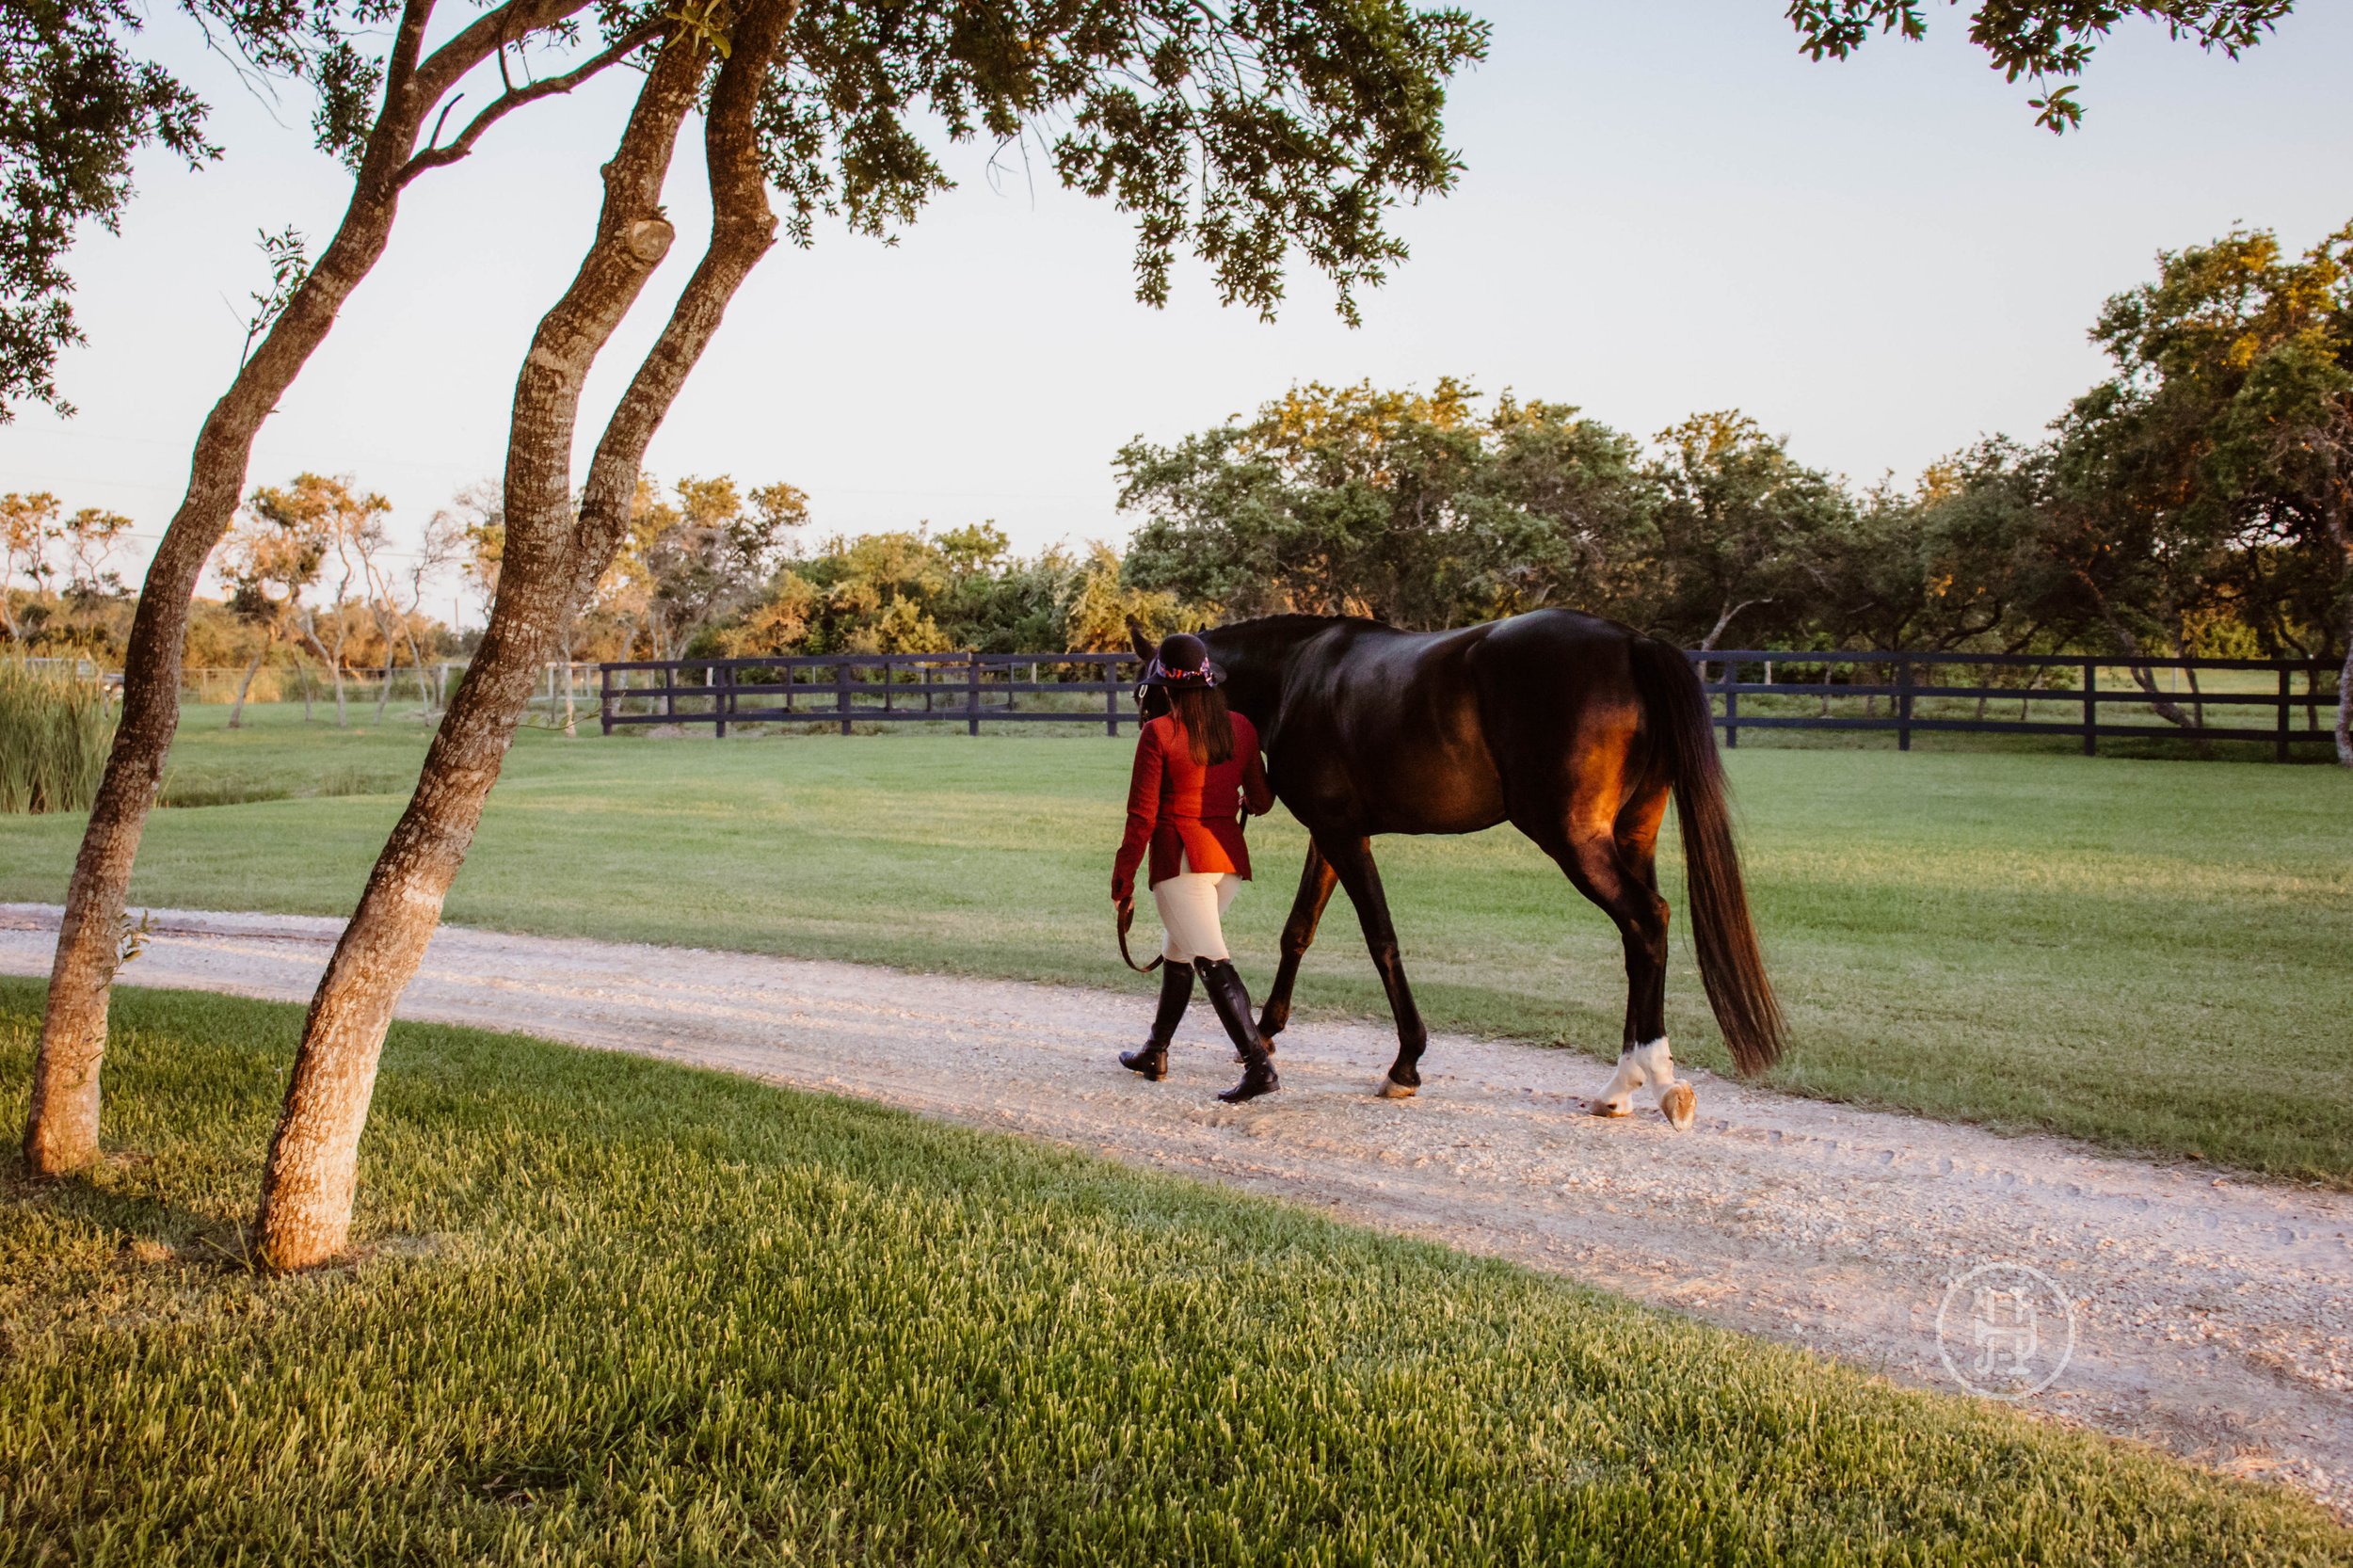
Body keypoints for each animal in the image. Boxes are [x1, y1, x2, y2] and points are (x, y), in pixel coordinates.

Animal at [1129, 609, 1783, 1128]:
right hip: (1633, 835)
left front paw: (1405, 1064)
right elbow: (1299, 931)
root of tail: (1633, 644)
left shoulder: (1342, 834)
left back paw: (1646, 1076)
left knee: (1647, 921)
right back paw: (1626, 1084)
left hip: (1575, 840)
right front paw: (1263, 1034)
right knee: (1640, 939)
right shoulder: (1334, 832)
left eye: (1145, 692)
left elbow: (1381, 938)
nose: (1149, 751)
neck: (1296, 673)